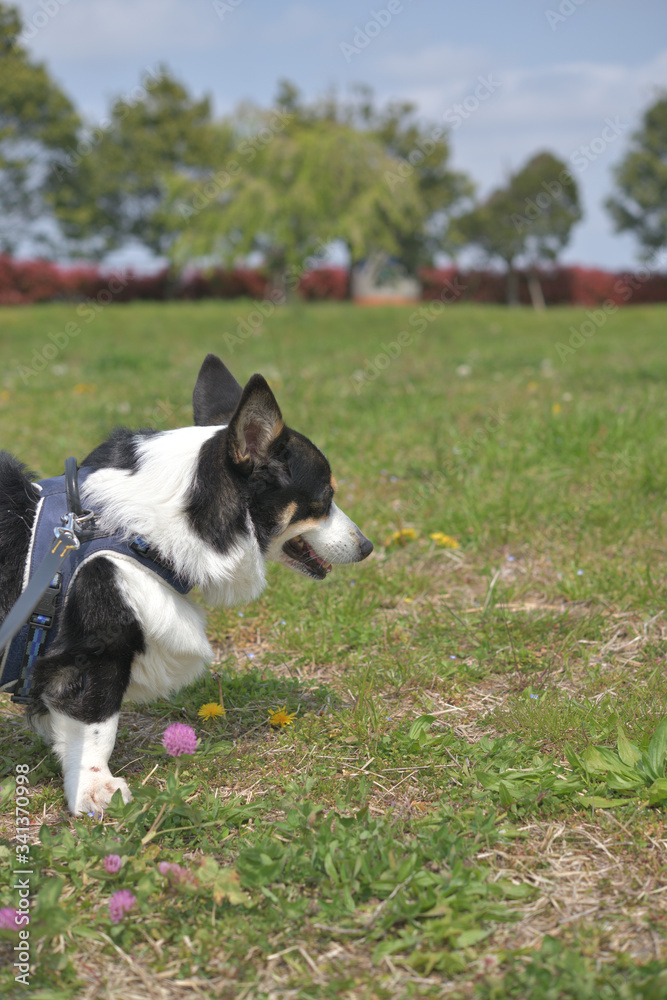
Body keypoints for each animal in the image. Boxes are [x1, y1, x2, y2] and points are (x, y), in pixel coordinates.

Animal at [0, 358, 370, 812]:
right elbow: (97, 727)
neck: (143, 533)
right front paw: (96, 790)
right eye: (325, 497)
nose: (368, 546)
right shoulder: (94, 653)